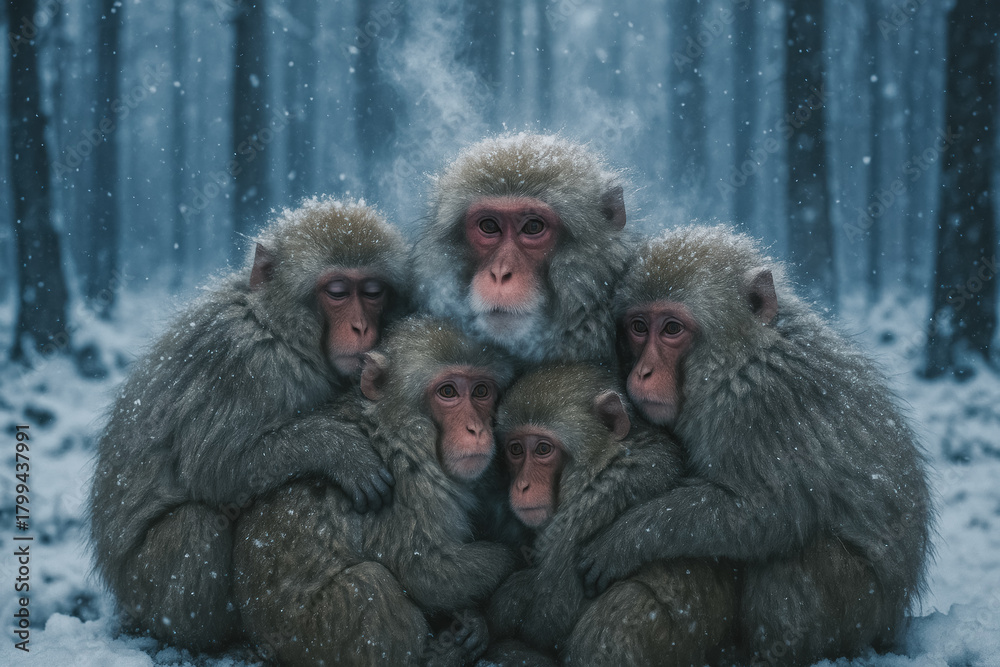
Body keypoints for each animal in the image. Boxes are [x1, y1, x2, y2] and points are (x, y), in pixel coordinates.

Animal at [88, 197, 410, 651]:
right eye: (337, 292)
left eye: (373, 292)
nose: (361, 326)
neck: (276, 329)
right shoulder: (241, 364)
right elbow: (214, 467)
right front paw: (341, 452)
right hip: (143, 591)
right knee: (198, 524)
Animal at [232, 317, 518, 667]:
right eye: (448, 391)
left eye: (481, 391)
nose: (476, 429)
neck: (392, 424)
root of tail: (260, 642)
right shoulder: (410, 480)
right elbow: (425, 572)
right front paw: (516, 561)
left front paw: (470, 620)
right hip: (311, 639)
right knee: (370, 584)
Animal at [485, 364, 737, 666]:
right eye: (516, 449)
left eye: (543, 449)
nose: (522, 485)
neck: (607, 460)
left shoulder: (592, 505)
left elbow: (548, 619)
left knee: (627, 600)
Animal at [577, 225, 932, 665]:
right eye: (639, 326)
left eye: (672, 329)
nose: (643, 372)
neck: (741, 357)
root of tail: (896, 619)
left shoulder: (759, 408)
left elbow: (765, 513)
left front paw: (626, 539)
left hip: (864, 612)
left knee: (798, 556)